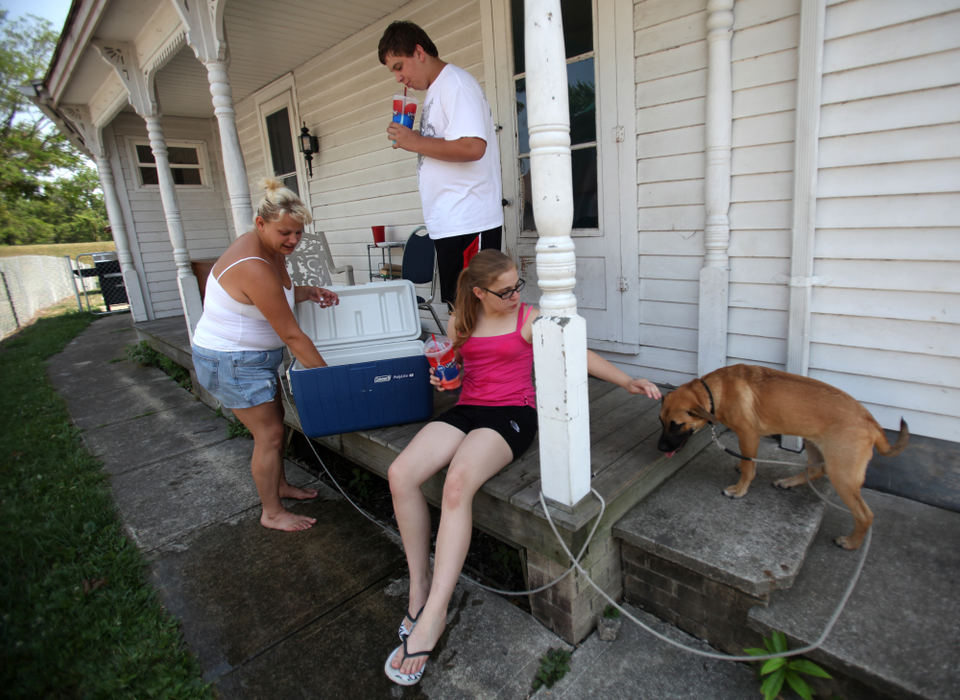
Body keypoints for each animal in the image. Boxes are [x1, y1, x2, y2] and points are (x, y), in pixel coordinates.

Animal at [656, 364, 912, 548]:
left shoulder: (748, 435)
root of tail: (872, 423)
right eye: (661, 421)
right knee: (814, 469)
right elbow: (746, 460)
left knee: (865, 515)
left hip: (843, 475)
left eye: (676, 425)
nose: (659, 448)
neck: (715, 392)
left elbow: (749, 465)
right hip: (812, 442)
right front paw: (741, 468)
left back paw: (851, 543)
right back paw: (787, 482)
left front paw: (740, 489)